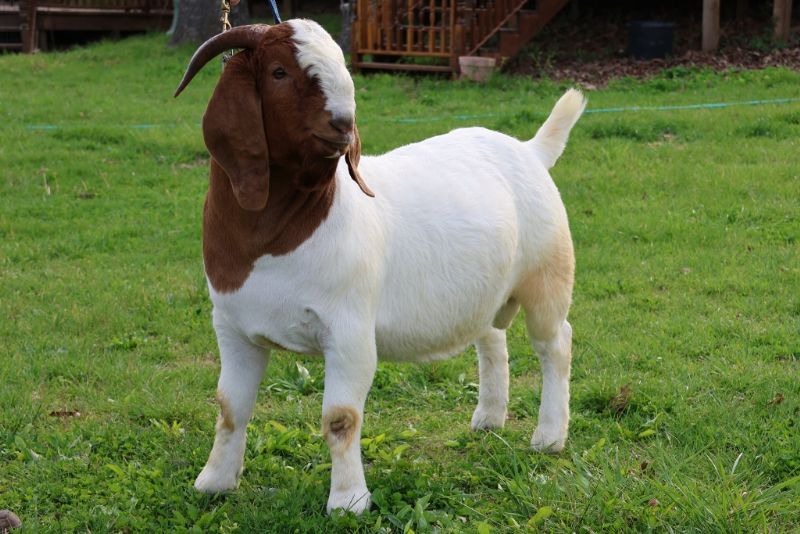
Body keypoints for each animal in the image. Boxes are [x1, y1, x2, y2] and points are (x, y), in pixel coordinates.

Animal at [175, 19, 586, 514]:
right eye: (278, 72)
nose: (343, 123)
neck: (276, 239)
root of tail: (531, 151)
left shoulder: (349, 331)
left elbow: (340, 419)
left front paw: (348, 501)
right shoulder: (233, 327)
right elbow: (230, 408)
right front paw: (214, 482)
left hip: (547, 274)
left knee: (555, 345)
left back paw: (548, 437)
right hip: (487, 288)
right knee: (491, 339)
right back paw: (488, 418)